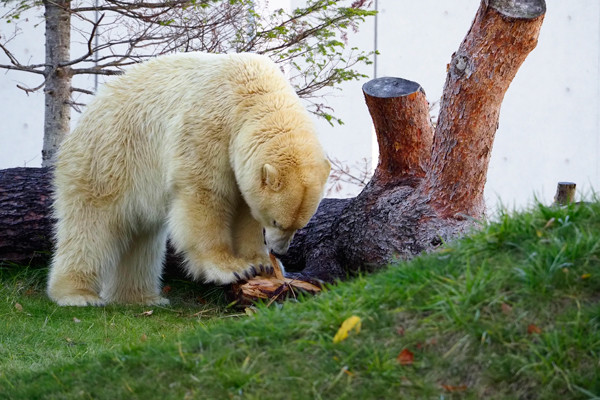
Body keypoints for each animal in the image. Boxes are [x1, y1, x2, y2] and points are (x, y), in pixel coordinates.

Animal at [46, 51, 330, 304]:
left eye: (299, 225)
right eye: (276, 221)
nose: (280, 250)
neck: (252, 93)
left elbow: (244, 210)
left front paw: (261, 264)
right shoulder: (208, 127)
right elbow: (204, 195)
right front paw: (231, 268)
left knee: (142, 238)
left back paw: (142, 297)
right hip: (108, 159)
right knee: (91, 225)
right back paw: (78, 295)